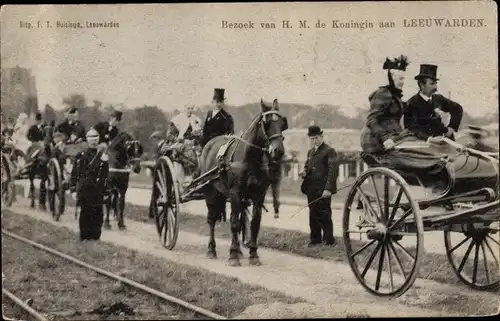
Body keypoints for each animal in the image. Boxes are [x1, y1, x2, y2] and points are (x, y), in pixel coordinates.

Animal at [198, 99, 286, 264]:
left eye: (282, 123)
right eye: (266, 123)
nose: (278, 151)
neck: (250, 159)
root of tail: (209, 144)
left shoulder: (258, 196)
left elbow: (254, 224)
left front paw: (253, 254)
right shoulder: (235, 194)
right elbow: (234, 223)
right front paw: (233, 255)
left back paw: (239, 250)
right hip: (211, 192)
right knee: (212, 219)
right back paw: (212, 249)